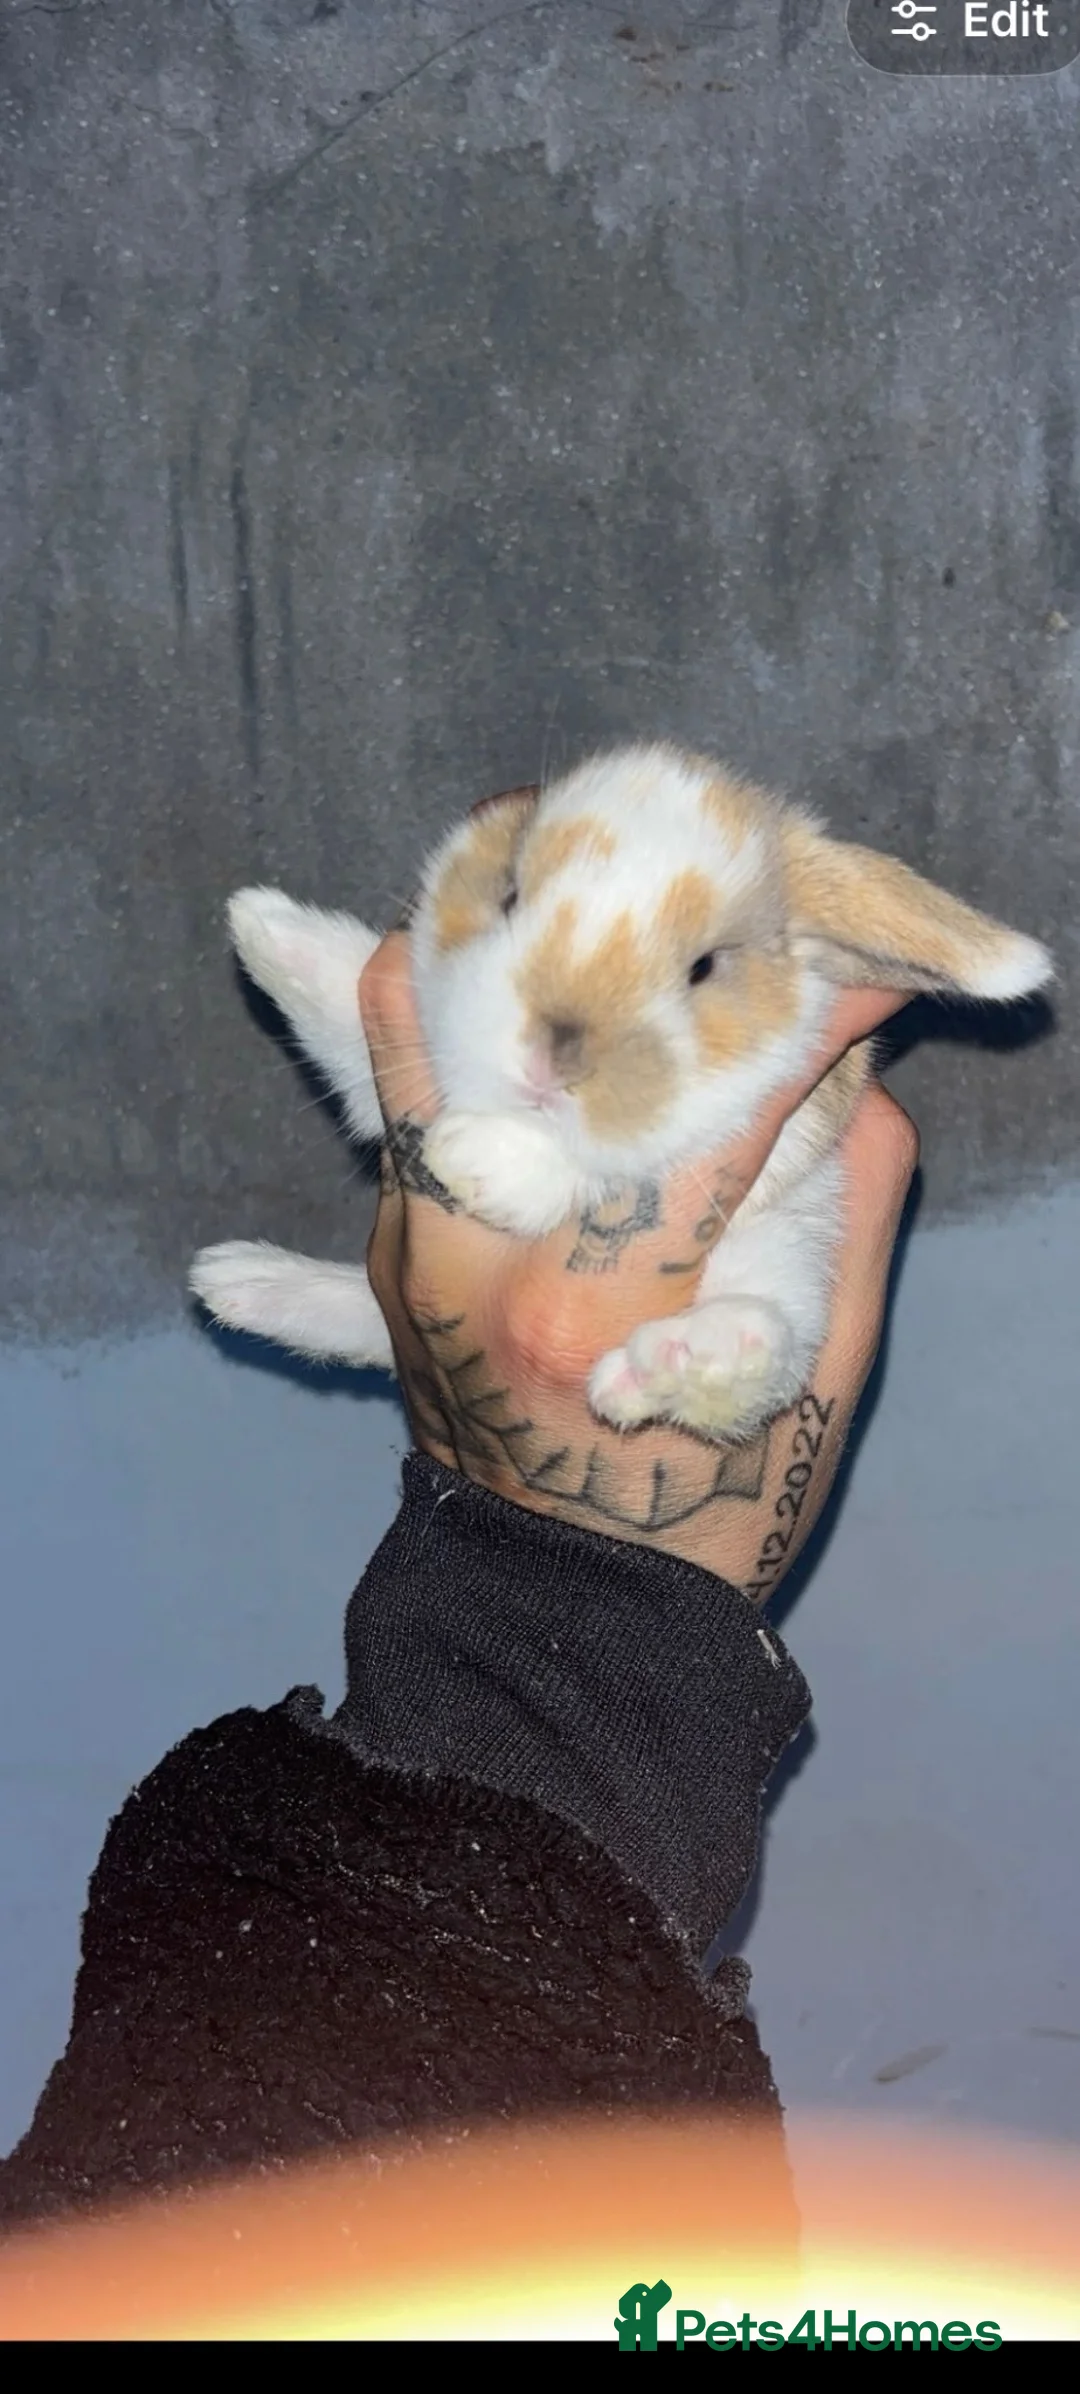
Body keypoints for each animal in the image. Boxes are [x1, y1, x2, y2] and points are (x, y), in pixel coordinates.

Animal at [190, 742, 1052, 1443]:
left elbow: (600, 1169)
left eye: (704, 968)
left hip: (796, 1258)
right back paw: (238, 1284)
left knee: (768, 1351)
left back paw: (691, 1357)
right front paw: (264, 927)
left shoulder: (786, 1125)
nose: (553, 1055)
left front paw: (477, 1160)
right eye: (509, 896)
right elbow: (352, 1034)